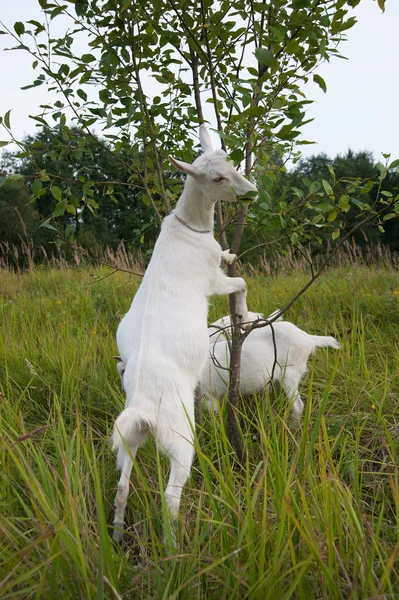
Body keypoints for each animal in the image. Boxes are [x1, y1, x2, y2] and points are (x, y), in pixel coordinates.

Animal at [111, 126, 258, 544]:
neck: (189, 229)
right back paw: (175, 546)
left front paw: (229, 253)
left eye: (233, 163)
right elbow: (240, 282)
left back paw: (117, 537)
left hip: (129, 439)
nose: (252, 192)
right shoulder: (212, 283)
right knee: (170, 496)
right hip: (180, 438)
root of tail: (144, 409)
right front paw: (241, 313)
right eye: (217, 178)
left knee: (123, 486)